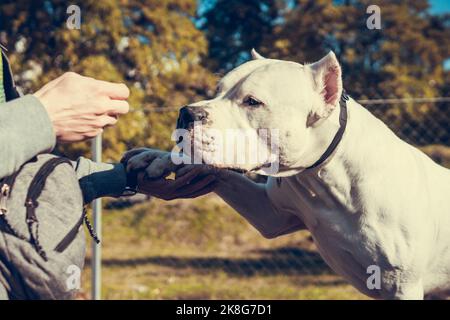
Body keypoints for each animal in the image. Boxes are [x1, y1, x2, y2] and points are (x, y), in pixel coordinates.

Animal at [128, 50, 450, 300]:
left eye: (252, 102)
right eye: (218, 90)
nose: (186, 113)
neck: (324, 176)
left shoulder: (402, 286)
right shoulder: (270, 214)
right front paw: (158, 159)